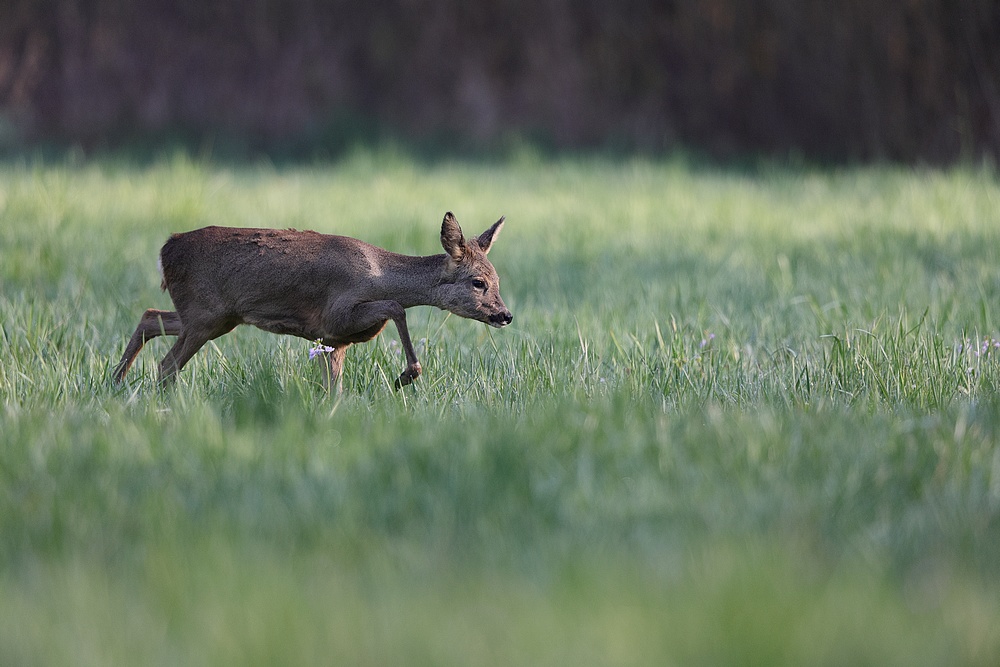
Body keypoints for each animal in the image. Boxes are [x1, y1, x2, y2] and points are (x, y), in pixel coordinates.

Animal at [113, 213, 512, 392]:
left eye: (498, 280)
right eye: (478, 282)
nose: (505, 315)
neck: (379, 273)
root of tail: (166, 250)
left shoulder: (334, 340)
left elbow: (332, 390)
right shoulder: (337, 315)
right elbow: (396, 307)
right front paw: (404, 377)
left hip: (214, 316)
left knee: (150, 317)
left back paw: (115, 384)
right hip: (204, 315)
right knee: (166, 366)